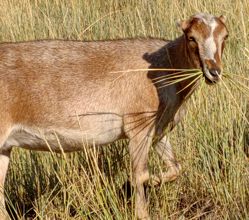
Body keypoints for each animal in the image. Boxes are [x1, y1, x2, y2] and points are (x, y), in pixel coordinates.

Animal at [0, 13, 228, 218]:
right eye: (191, 37)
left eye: (225, 36)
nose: (214, 71)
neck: (164, 66)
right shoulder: (138, 126)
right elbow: (140, 176)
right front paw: (138, 201)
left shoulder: (158, 132)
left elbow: (175, 168)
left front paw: (150, 181)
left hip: (5, 148)